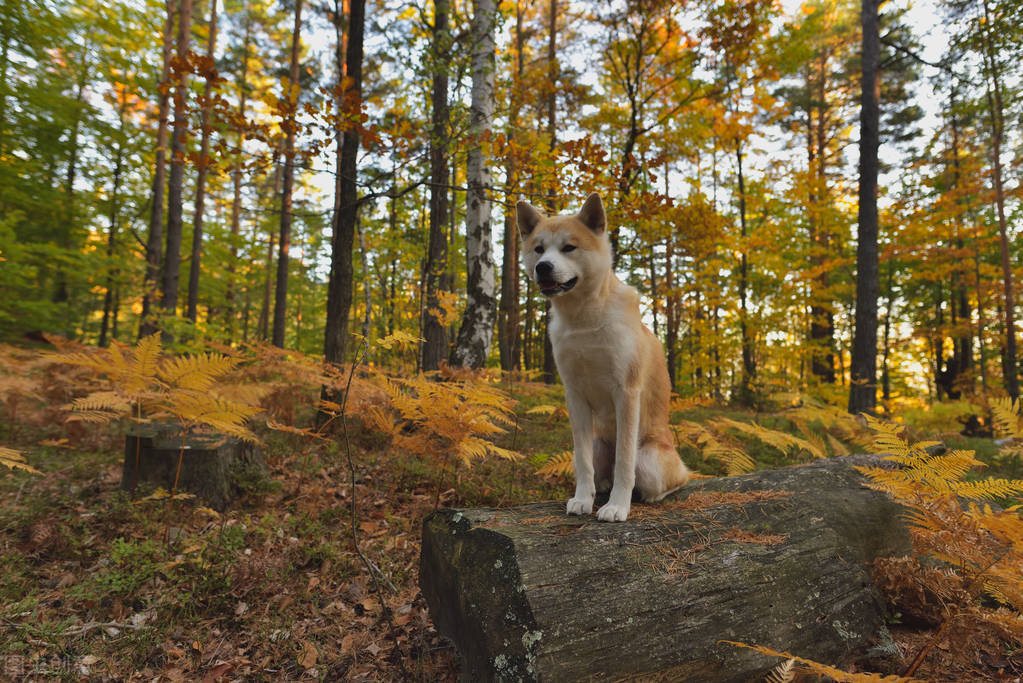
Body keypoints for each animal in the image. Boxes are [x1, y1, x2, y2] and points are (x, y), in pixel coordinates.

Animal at [515, 193, 691, 523]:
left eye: (569, 247)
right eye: (538, 249)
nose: (543, 267)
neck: (584, 318)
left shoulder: (627, 392)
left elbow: (624, 462)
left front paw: (618, 506)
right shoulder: (574, 395)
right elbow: (583, 463)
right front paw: (583, 500)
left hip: (649, 460)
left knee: (670, 479)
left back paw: (648, 495)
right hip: (599, 444)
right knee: (597, 470)